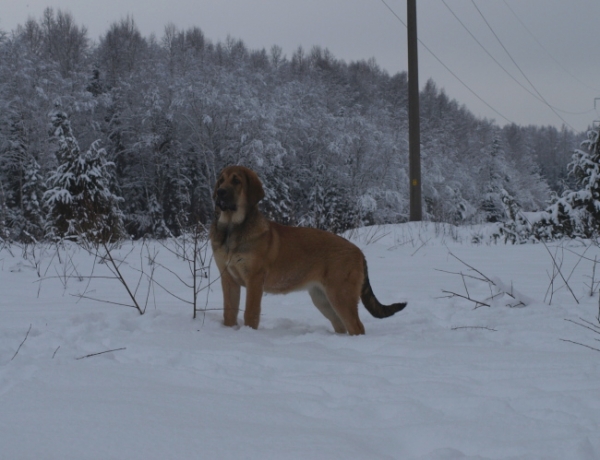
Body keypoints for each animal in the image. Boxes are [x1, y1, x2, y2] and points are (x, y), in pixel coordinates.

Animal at [209, 165, 406, 334]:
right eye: (221, 180)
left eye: (236, 181)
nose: (220, 192)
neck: (232, 229)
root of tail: (359, 252)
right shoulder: (228, 279)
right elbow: (229, 312)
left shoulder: (254, 279)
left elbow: (250, 313)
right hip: (322, 298)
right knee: (341, 326)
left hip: (341, 294)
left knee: (357, 327)